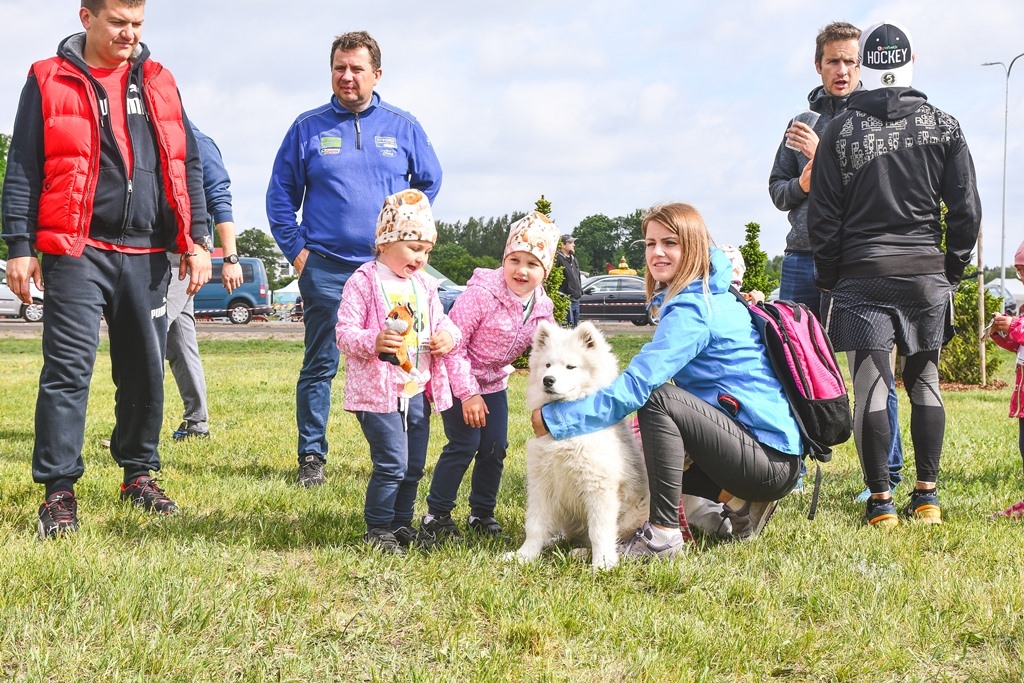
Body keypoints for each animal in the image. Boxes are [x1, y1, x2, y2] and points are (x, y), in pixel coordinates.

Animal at [507, 323, 651, 569]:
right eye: (547, 365)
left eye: (570, 366)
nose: (548, 380)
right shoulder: (541, 482)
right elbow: (534, 524)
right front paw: (524, 556)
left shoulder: (599, 486)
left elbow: (599, 531)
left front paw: (602, 564)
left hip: (634, 517)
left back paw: (582, 553)